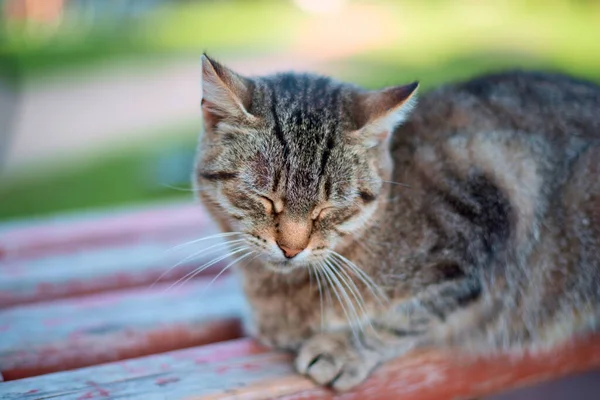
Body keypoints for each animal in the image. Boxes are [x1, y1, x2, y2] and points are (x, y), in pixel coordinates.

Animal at [193, 53, 600, 390]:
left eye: (328, 207)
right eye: (265, 199)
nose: (291, 249)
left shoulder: (483, 230)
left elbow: (406, 319)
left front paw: (346, 349)